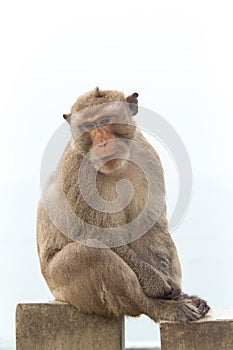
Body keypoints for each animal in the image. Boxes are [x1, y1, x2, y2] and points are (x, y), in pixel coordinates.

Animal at [36, 86, 209, 322]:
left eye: (105, 120)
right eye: (89, 126)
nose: (102, 142)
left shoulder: (147, 156)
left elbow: (150, 228)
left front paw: (172, 286)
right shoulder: (79, 170)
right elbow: (100, 234)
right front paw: (158, 286)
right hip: (63, 284)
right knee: (91, 253)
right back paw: (161, 307)